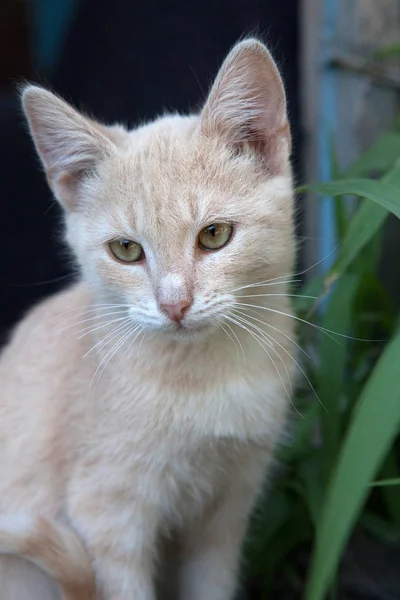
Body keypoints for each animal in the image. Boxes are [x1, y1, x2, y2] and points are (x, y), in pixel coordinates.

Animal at [0, 38, 296, 600]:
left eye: (214, 235)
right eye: (126, 250)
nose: (173, 303)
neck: (201, 380)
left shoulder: (225, 514)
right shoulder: (108, 517)